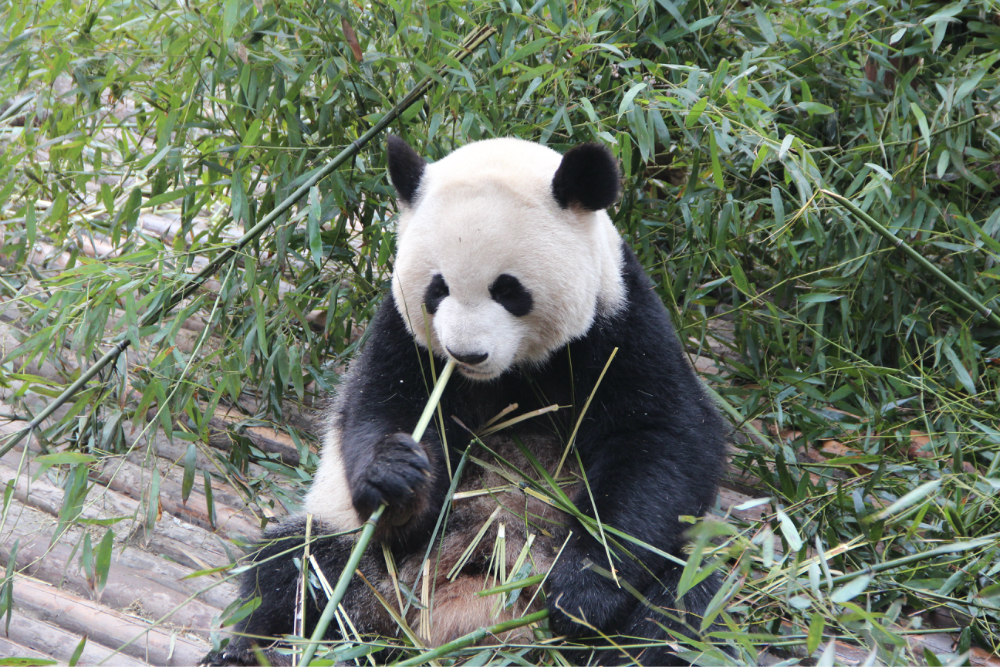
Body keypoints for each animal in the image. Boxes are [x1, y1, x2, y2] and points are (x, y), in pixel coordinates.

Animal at [209, 138, 728, 664]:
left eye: (508, 290)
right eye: (437, 288)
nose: (466, 353)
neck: (509, 374)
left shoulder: (619, 324)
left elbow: (661, 440)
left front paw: (582, 593)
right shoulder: (404, 336)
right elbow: (380, 411)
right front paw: (397, 477)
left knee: (681, 604)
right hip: (364, 563)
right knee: (293, 570)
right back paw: (255, 649)